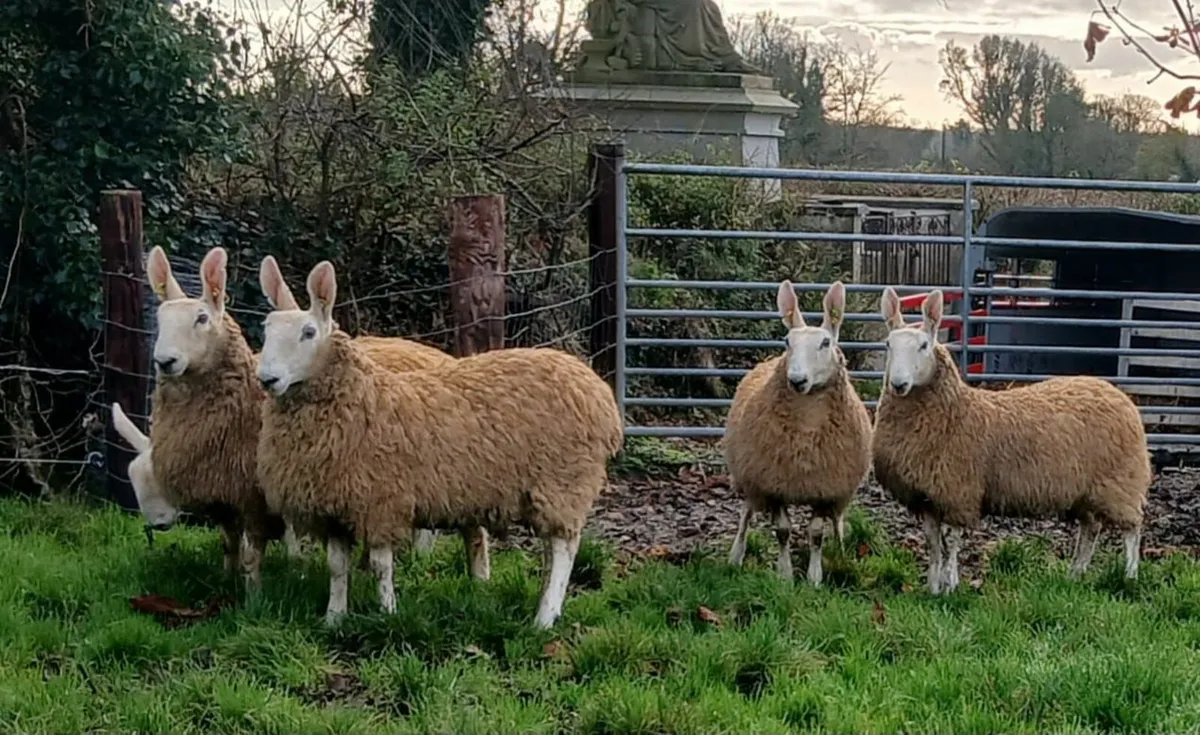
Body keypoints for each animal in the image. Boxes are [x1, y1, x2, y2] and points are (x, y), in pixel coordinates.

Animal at [255, 259, 623, 628]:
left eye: (308, 332)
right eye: (266, 329)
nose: (267, 379)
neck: (365, 397)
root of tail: (599, 394)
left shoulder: (381, 501)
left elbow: (380, 566)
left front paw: (388, 613)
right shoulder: (332, 506)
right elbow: (336, 568)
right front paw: (334, 618)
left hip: (564, 482)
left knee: (564, 549)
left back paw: (544, 617)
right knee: (549, 549)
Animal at [724, 280, 872, 585]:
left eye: (825, 343)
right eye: (787, 342)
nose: (796, 380)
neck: (807, 424)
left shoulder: (825, 487)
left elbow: (816, 534)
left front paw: (814, 578)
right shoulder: (774, 483)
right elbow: (783, 531)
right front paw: (785, 575)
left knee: (836, 521)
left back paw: (841, 546)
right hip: (748, 471)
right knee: (746, 513)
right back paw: (736, 555)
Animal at [872, 287, 1152, 594]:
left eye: (923, 346)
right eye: (887, 344)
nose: (898, 384)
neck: (955, 411)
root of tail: (1118, 395)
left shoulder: (959, 491)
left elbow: (953, 541)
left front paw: (951, 584)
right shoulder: (927, 496)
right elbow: (934, 544)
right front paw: (933, 587)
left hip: (1121, 482)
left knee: (1132, 529)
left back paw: (1129, 576)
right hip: (1088, 489)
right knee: (1091, 529)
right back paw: (1075, 574)